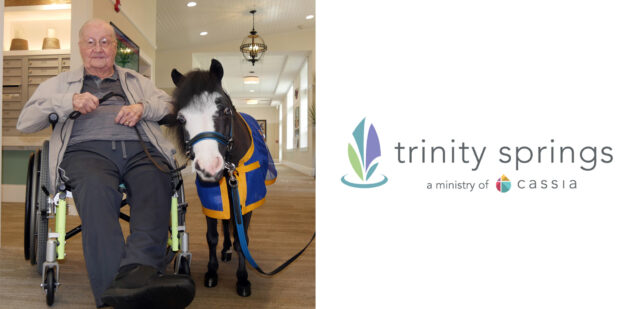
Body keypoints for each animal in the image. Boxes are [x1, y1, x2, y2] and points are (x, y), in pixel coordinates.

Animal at [169, 58, 268, 296]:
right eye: (181, 118)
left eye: (224, 110)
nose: (209, 167)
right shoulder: (212, 199)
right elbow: (212, 237)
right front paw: (212, 272)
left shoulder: (247, 201)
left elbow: (242, 240)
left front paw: (242, 278)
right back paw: (225, 250)